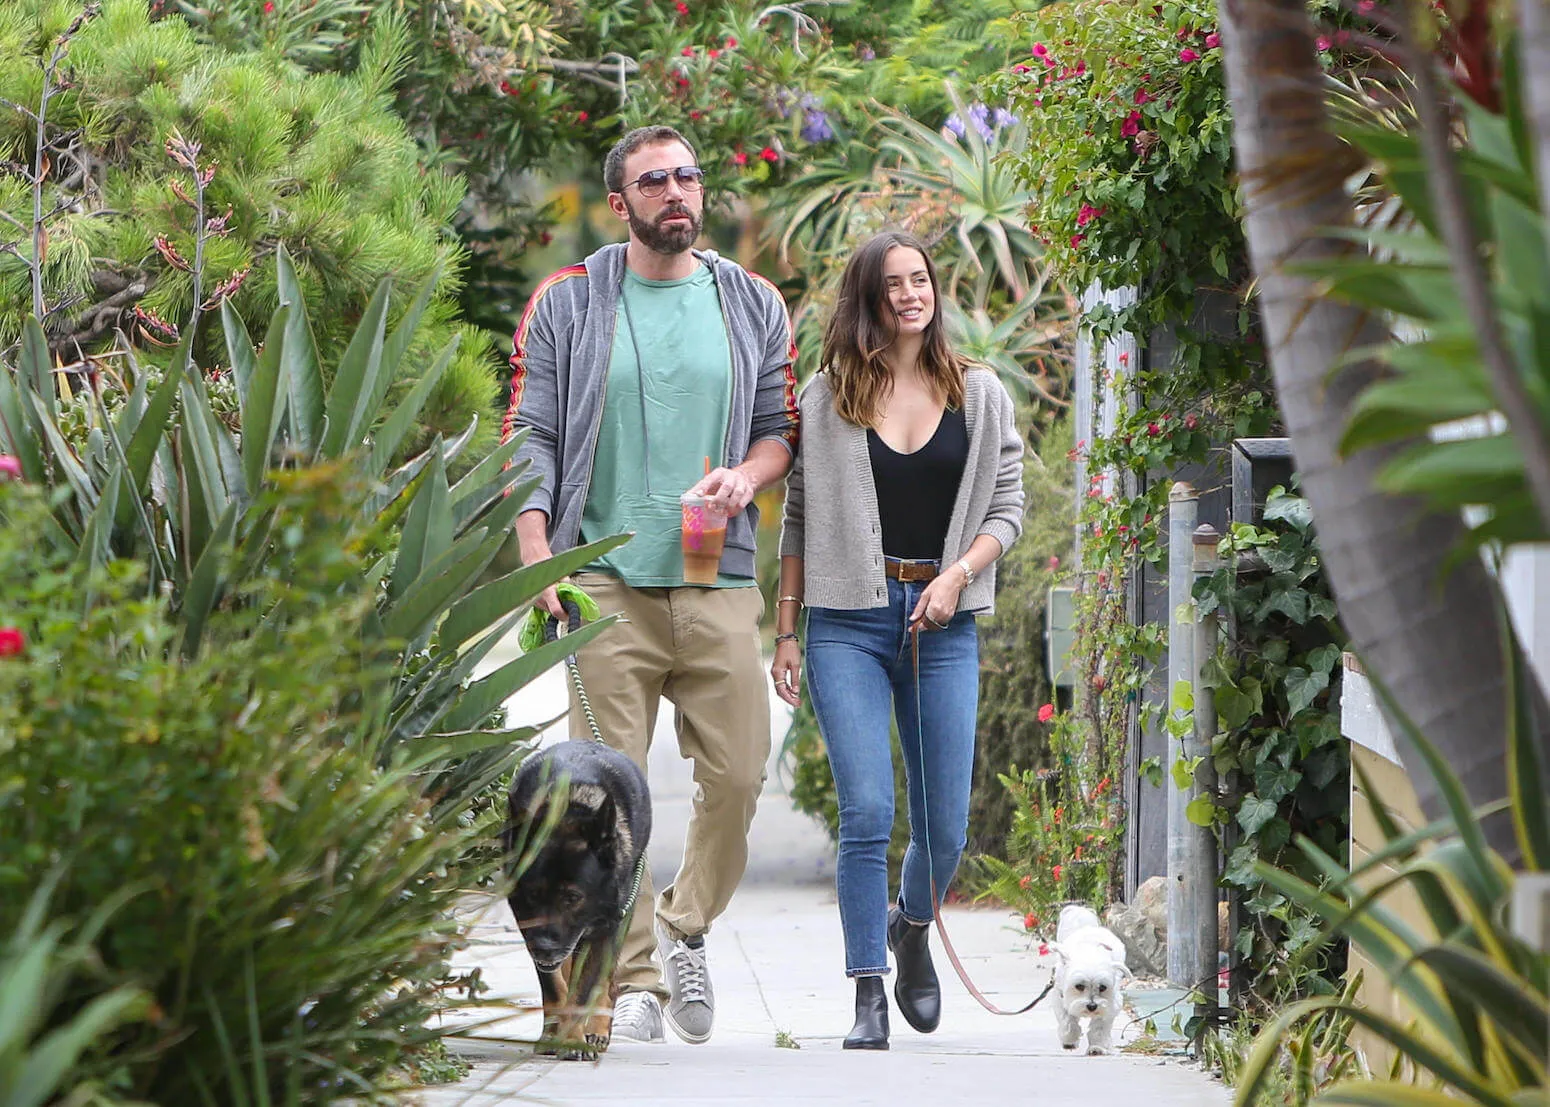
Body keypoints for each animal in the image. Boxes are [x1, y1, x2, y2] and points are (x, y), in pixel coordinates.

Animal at [505, 738, 651, 1054]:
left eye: (573, 897)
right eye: (532, 894)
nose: (544, 947)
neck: (567, 807)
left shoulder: (605, 926)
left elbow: (583, 989)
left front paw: (573, 1039)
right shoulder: (528, 927)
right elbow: (553, 988)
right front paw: (553, 1035)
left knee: (607, 981)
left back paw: (596, 1030)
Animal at [1047, 899, 1134, 1048]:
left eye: (1103, 987)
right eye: (1079, 986)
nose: (1092, 1006)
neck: (1089, 951)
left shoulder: (1111, 1003)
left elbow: (1100, 1026)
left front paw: (1098, 1047)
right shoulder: (1060, 996)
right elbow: (1067, 1021)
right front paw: (1070, 1039)